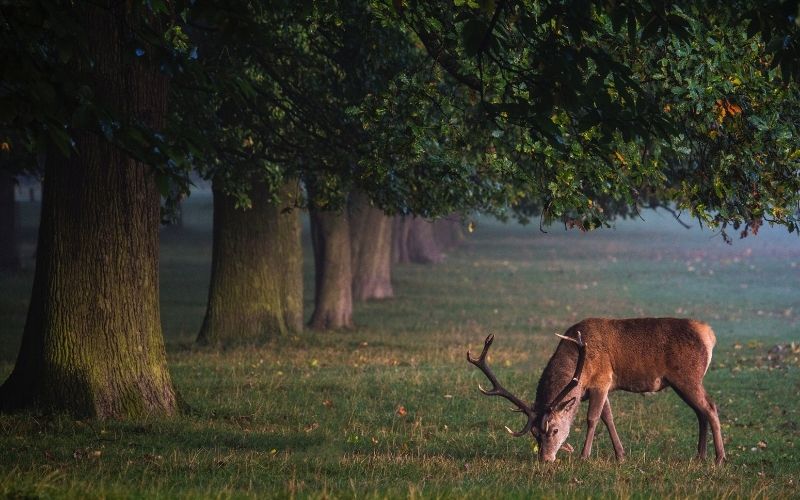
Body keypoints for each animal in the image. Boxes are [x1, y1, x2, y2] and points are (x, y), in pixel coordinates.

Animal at [468, 320, 724, 464]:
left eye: (555, 429)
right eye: (534, 434)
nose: (545, 459)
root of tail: (710, 334)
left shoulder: (602, 379)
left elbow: (592, 418)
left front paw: (584, 456)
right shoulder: (600, 388)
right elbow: (608, 417)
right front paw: (621, 455)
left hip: (688, 376)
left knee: (710, 407)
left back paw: (720, 458)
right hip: (682, 382)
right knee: (700, 412)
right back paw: (700, 456)